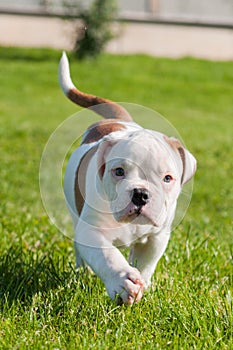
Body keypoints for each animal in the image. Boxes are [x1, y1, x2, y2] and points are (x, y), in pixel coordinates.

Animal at [58, 51, 197, 304]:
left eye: (168, 178)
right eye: (119, 172)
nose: (140, 194)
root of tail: (116, 120)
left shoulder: (157, 237)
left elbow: (146, 264)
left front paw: (143, 284)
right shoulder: (90, 232)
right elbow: (107, 255)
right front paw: (123, 281)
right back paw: (82, 273)